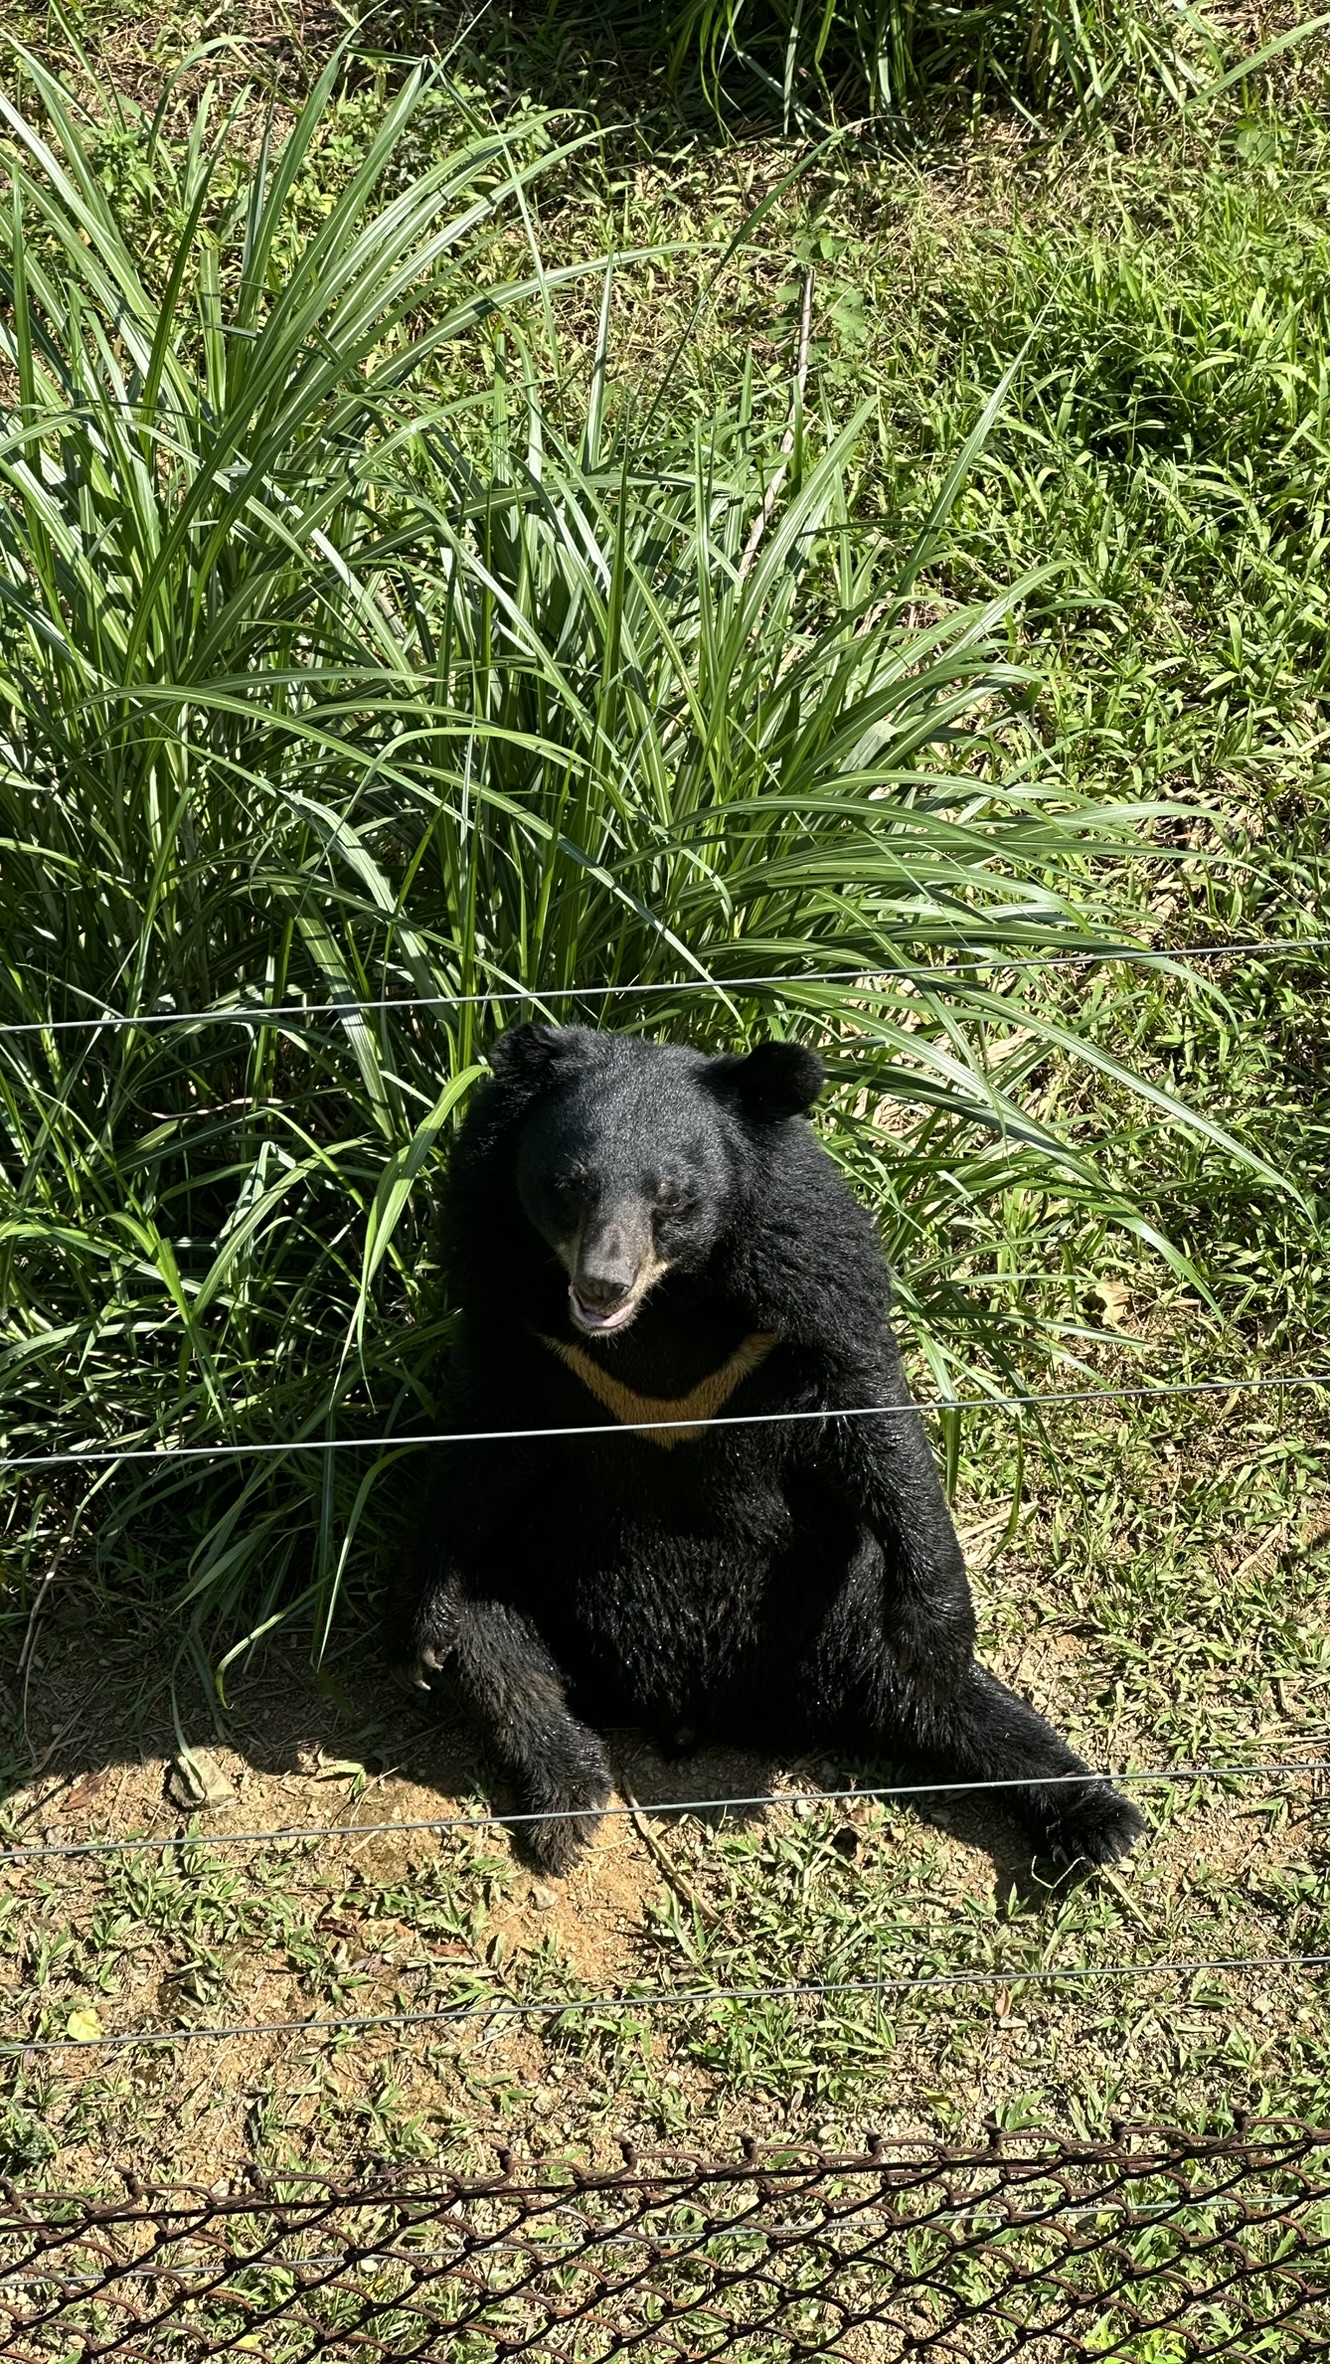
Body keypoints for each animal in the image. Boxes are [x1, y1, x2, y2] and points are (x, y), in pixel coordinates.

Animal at [391, 1023, 1146, 1878]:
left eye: (672, 1198)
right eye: (567, 1185)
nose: (602, 1284)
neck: (665, 1307)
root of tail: (698, 1708)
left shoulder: (808, 1262)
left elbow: (873, 1409)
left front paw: (939, 1631)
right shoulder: (501, 1287)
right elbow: (480, 1442)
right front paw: (422, 1634)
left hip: (842, 1614)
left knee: (953, 1706)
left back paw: (1097, 1816)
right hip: (538, 1577)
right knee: (506, 1658)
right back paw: (567, 1797)